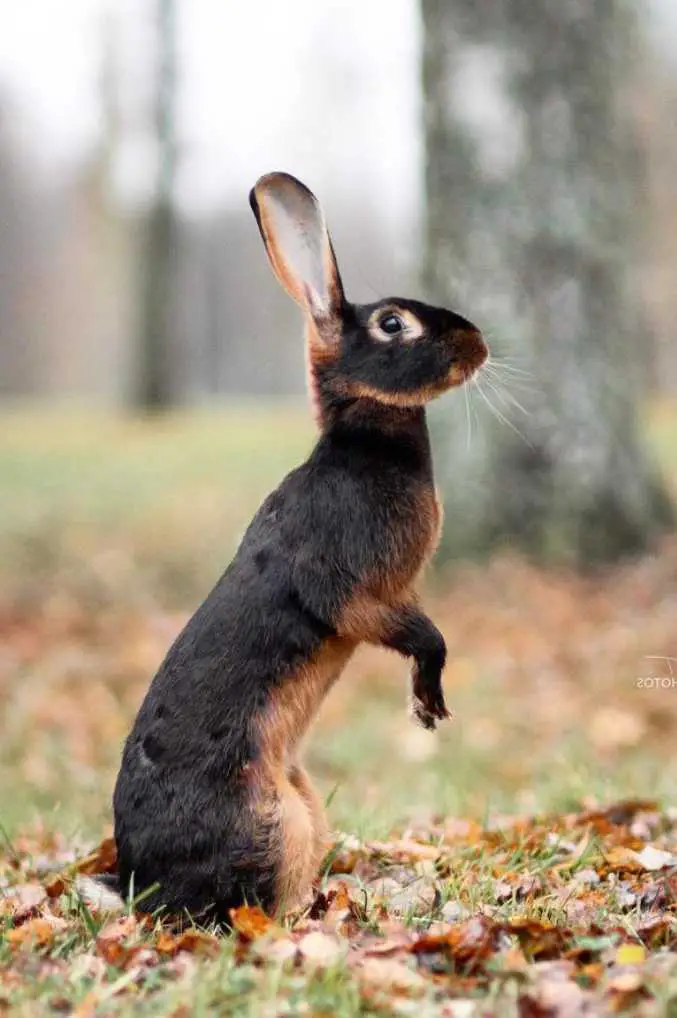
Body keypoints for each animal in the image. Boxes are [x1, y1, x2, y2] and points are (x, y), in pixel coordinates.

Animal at [113, 173, 488, 924]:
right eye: (393, 323)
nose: (479, 343)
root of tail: (142, 886)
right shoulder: (349, 587)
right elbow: (419, 635)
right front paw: (429, 706)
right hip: (275, 822)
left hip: (303, 804)